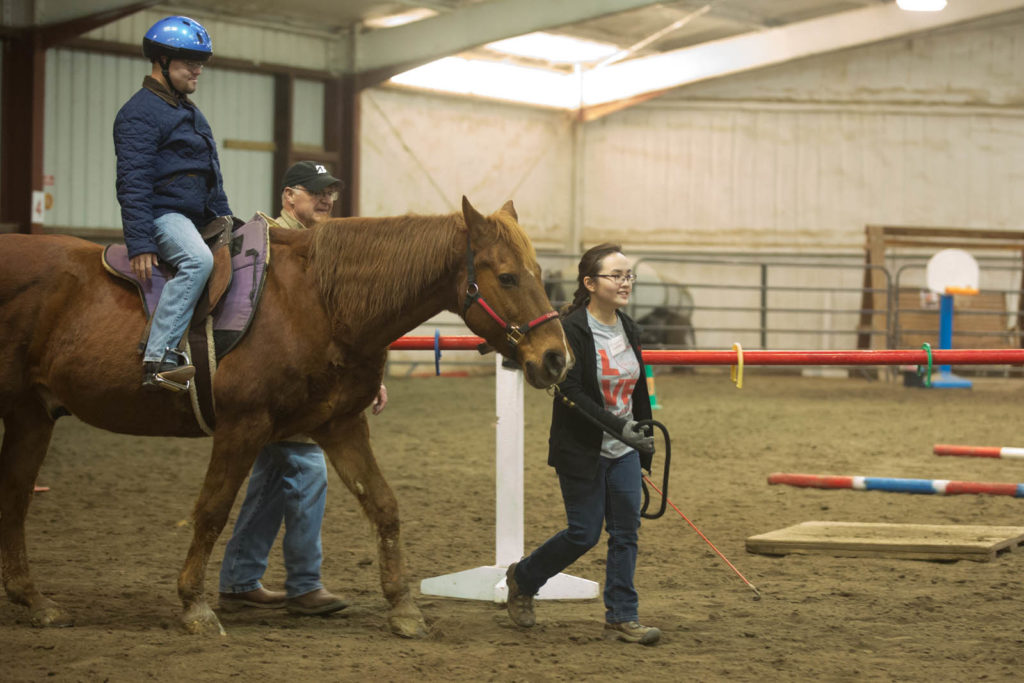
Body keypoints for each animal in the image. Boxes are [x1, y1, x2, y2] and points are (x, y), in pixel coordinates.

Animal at [0, 197, 570, 638]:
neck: (318, 301)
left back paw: (35, 602)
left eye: (541, 274)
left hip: (32, 415)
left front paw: (404, 609)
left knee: (16, 501)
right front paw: (194, 606)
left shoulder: (340, 426)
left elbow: (384, 507)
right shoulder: (242, 427)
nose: (555, 359)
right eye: (507, 277)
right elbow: (212, 511)